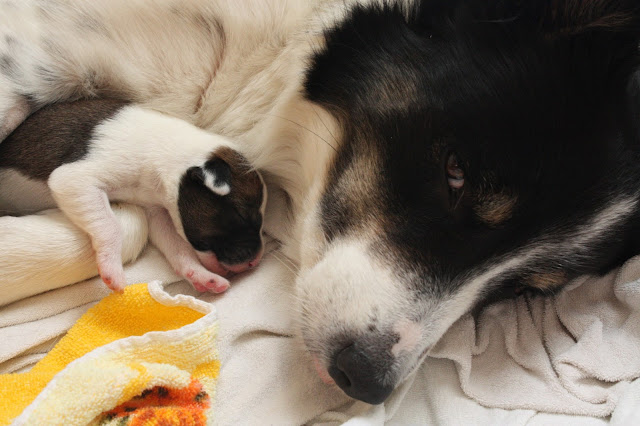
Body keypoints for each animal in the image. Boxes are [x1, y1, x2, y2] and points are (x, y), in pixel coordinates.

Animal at [0, 99, 266, 293]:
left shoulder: (158, 212)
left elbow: (179, 249)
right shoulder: (74, 180)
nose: (255, 262)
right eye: (242, 215)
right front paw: (112, 271)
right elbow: (110, 226)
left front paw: (202, 277)